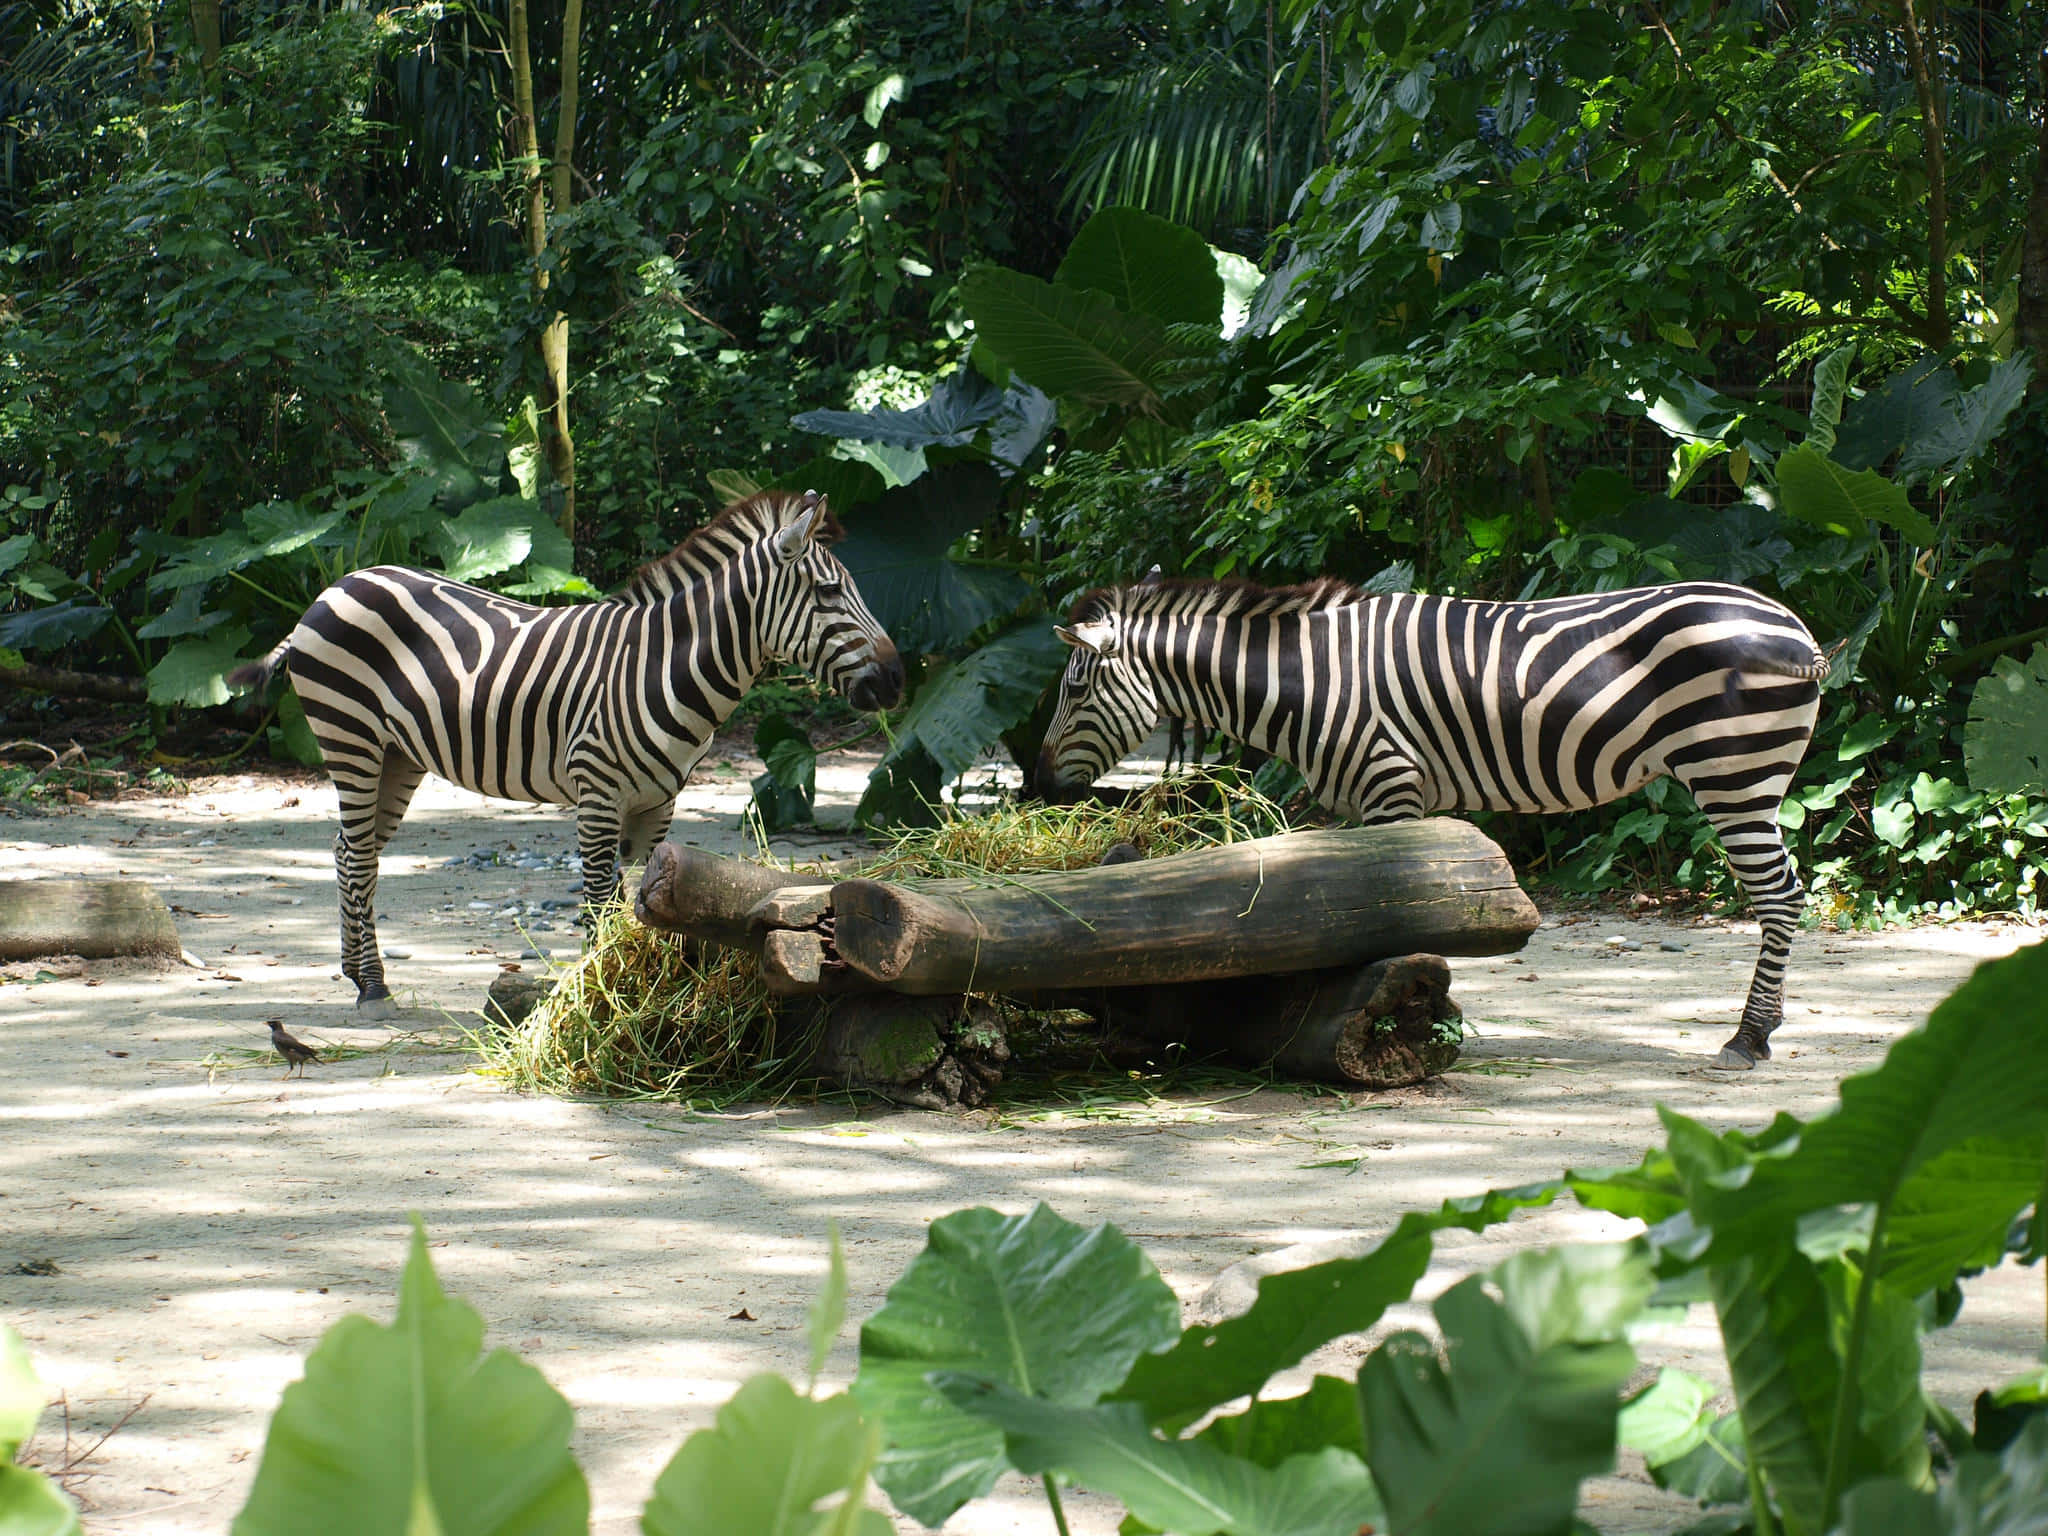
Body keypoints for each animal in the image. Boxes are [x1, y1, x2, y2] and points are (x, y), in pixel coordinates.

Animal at [230, 489, 902, 1017]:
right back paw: (371, 985)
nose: (897, 681)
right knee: (357, 855)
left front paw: (656, 991)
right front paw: (600, 999)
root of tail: (337, 585)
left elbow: (658, 902)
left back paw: (359, 973)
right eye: (827, 592)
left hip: (399, 756)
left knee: (352, 851)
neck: (666, 667)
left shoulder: (658, 803)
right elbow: (599, 904)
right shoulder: (598, 793)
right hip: (352, 739)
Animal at [1035, 577, 1829, 1070]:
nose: (1038, 785)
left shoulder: (1391, 780)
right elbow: (1351, 906)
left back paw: (1748, 1037)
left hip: (1730, 769)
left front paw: (1397, 1019)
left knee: (1778, 896)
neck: (1308, 683)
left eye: (1077, 689)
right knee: (1789, 891)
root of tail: (1792, 624)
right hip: (1755, 776)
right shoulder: (1368, 799)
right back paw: (1763, 1029)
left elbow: (1396, 914)